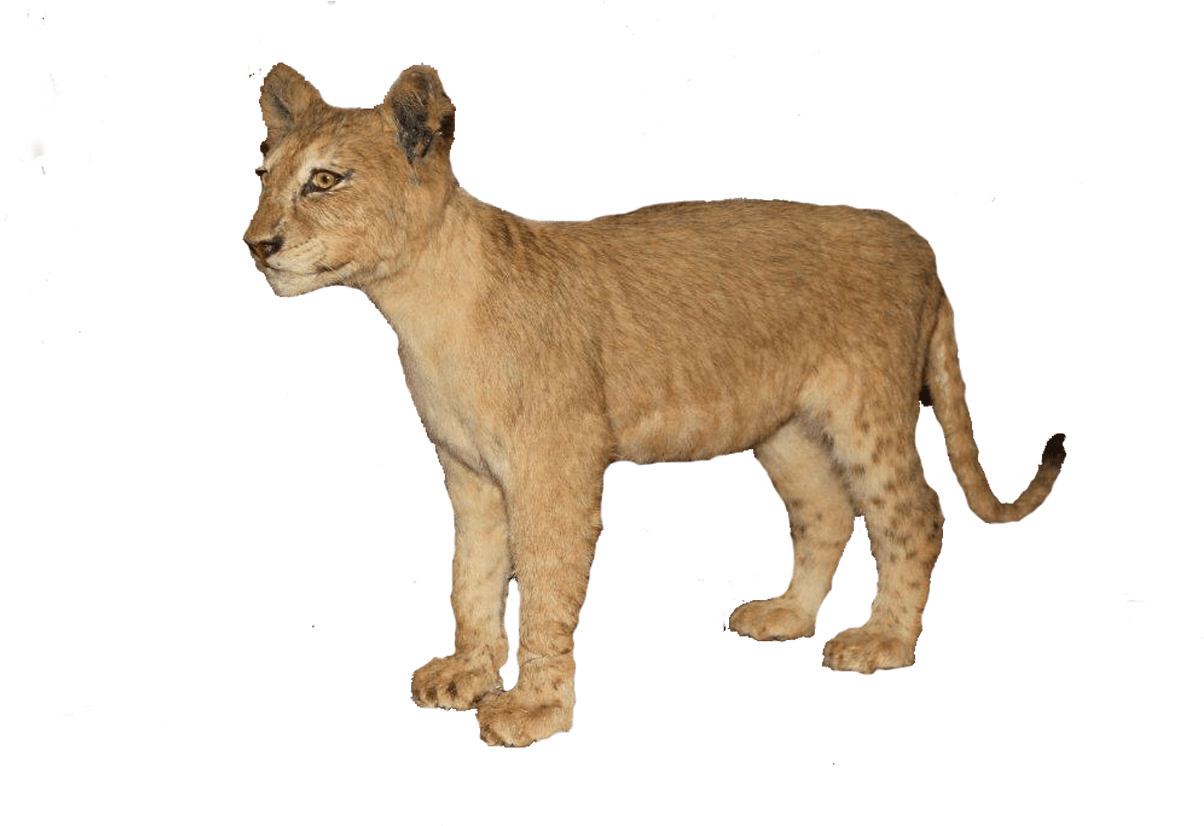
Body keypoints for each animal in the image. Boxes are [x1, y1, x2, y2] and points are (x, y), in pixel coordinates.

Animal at [244, 63, 1066, 747]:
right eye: (263, 176)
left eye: (325, 180)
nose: (256, 244)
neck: (417, 304)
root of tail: (922, 245)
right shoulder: (470, 474)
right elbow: (471, 576)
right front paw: (468, 673)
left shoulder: (556, 469)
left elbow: (544, 586)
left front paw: (534, 708)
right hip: (784, 428)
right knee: (828, 510)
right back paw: (788, 616)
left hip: (867, 408)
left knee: (915, 512)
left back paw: (884, 641)